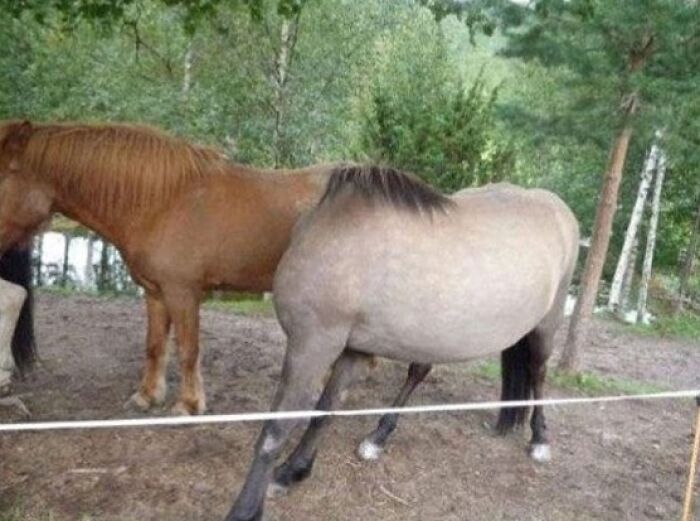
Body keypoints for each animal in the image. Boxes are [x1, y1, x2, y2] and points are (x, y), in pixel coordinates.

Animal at [0, 120, 336, 415]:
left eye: (0, 179)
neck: (162, 203)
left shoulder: (182, 292)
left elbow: (188, 349)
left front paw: (188, 404)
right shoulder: (155, 292)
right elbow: (155, 346)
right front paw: (147, 396)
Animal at [225, 165, 579, 521]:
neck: (332, 224)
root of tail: (557, 208)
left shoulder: (311, 345)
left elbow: (275, 430)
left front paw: (246, 509)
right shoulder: (353, 350)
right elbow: (325, 410)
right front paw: (294, 471)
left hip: (544, 327)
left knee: (537, 373)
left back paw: (540, 440)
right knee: (420, 371)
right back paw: (378, 437)